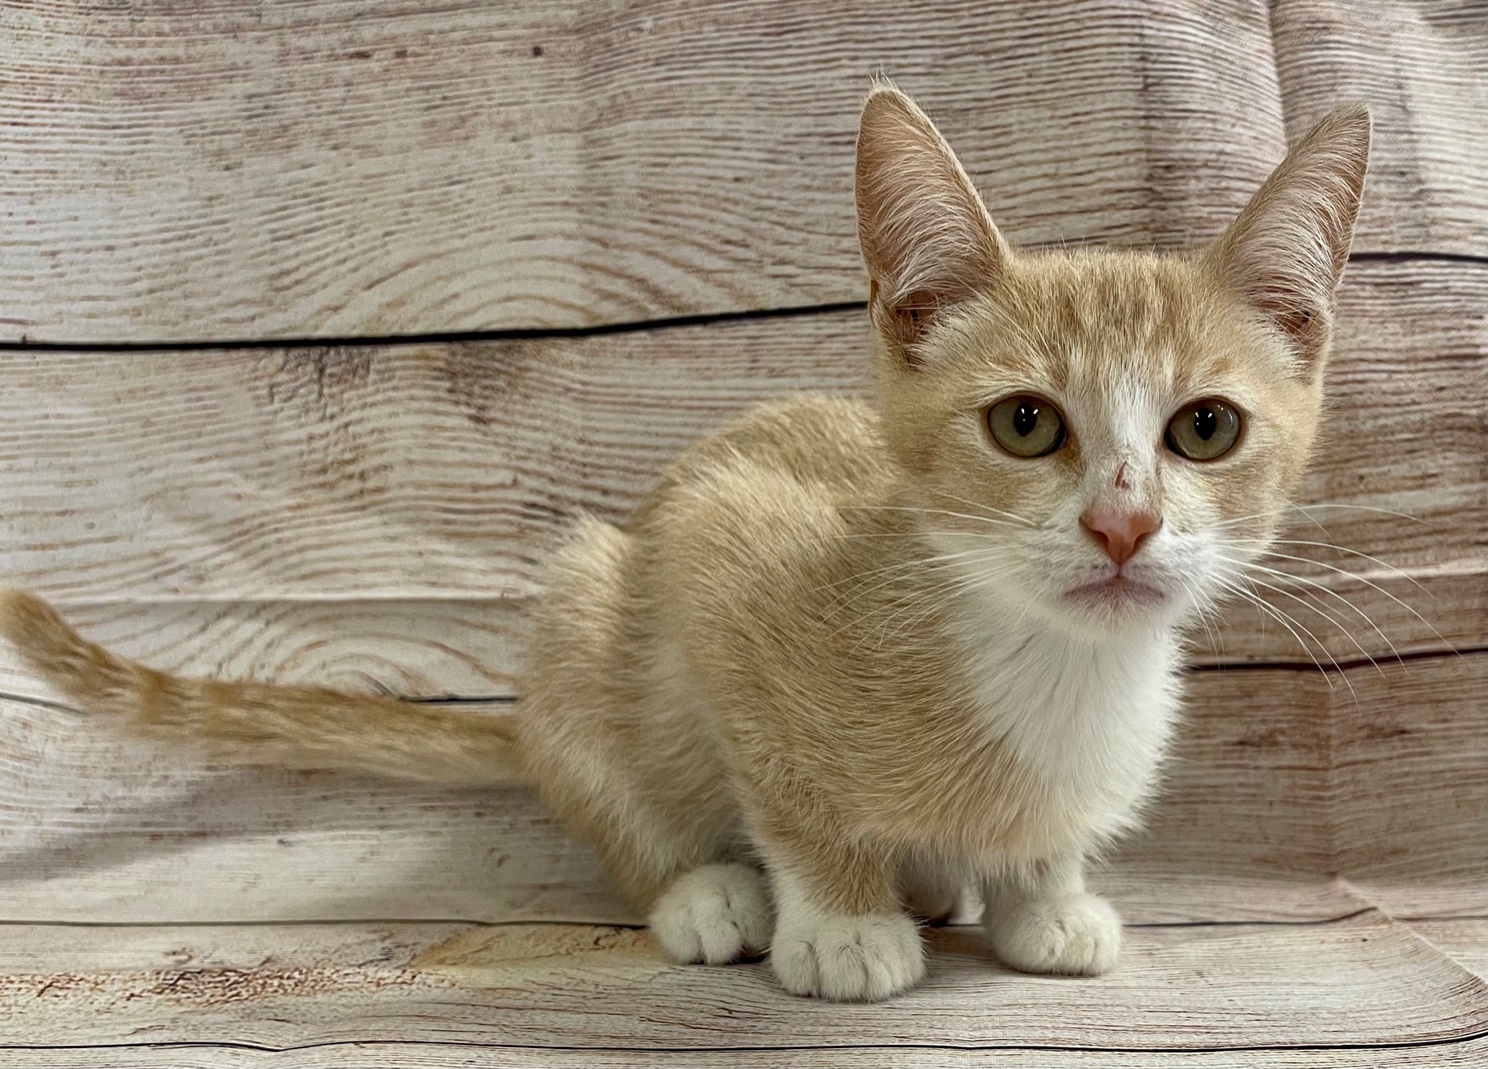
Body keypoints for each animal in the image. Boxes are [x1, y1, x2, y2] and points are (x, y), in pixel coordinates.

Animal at [2, 85, 1368, 1006]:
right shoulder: (724, 549)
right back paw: (709, 891)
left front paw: (1048, 898)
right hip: (586, 600)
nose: (1123, 523)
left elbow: (1041, 847)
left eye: (1206, 427)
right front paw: (841, 921)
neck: (1054, 670)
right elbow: (787, 787)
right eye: (1026, 423)